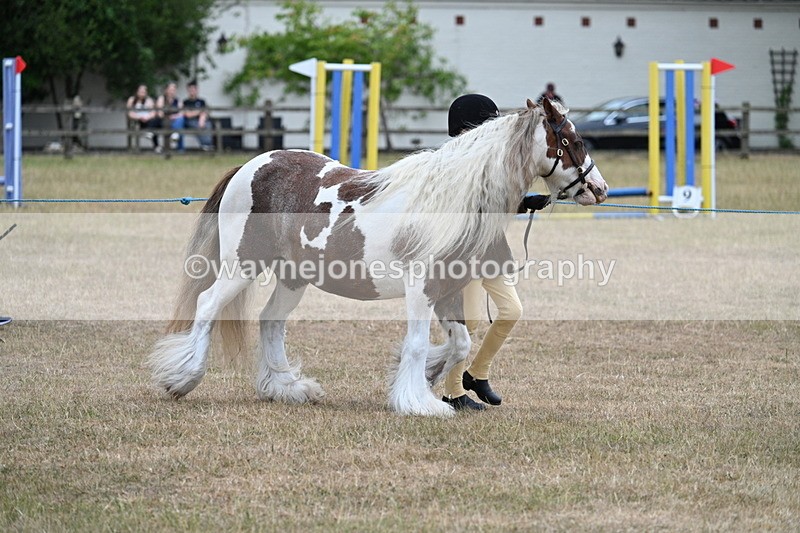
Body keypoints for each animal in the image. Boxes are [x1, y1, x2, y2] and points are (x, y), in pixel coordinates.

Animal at [148, 98, 608, 417]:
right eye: (572, 141)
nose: (599, 189)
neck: (451, 199)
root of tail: (251, 165)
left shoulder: (447, 292)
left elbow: (459, 343)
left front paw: (427, 380)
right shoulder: (421, 290)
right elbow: (418, 344)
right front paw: (419, 402)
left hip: (293, 277)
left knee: (270, 321)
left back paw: (288, 388)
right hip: (242, 265)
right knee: (208, 305)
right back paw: (183, 378)